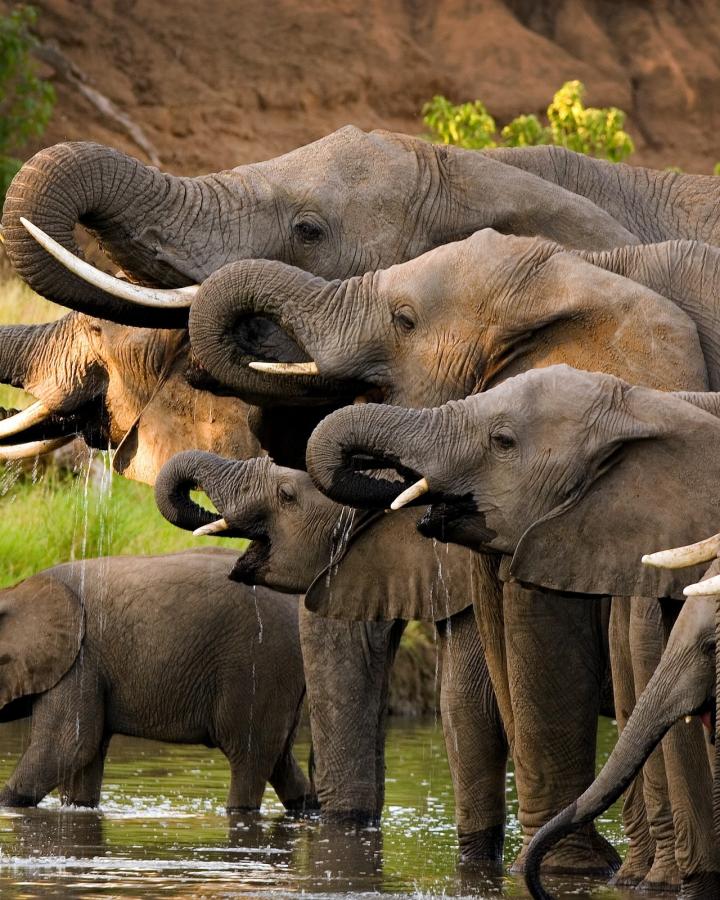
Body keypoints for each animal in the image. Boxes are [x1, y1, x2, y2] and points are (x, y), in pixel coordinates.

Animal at [0, 544, 316, 812]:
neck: (16, 590)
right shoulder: (87, 667)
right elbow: (84, 757)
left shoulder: (80, 662)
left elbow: (66, 746)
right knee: (280, 760)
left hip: (259, 665)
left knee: (249, 758)